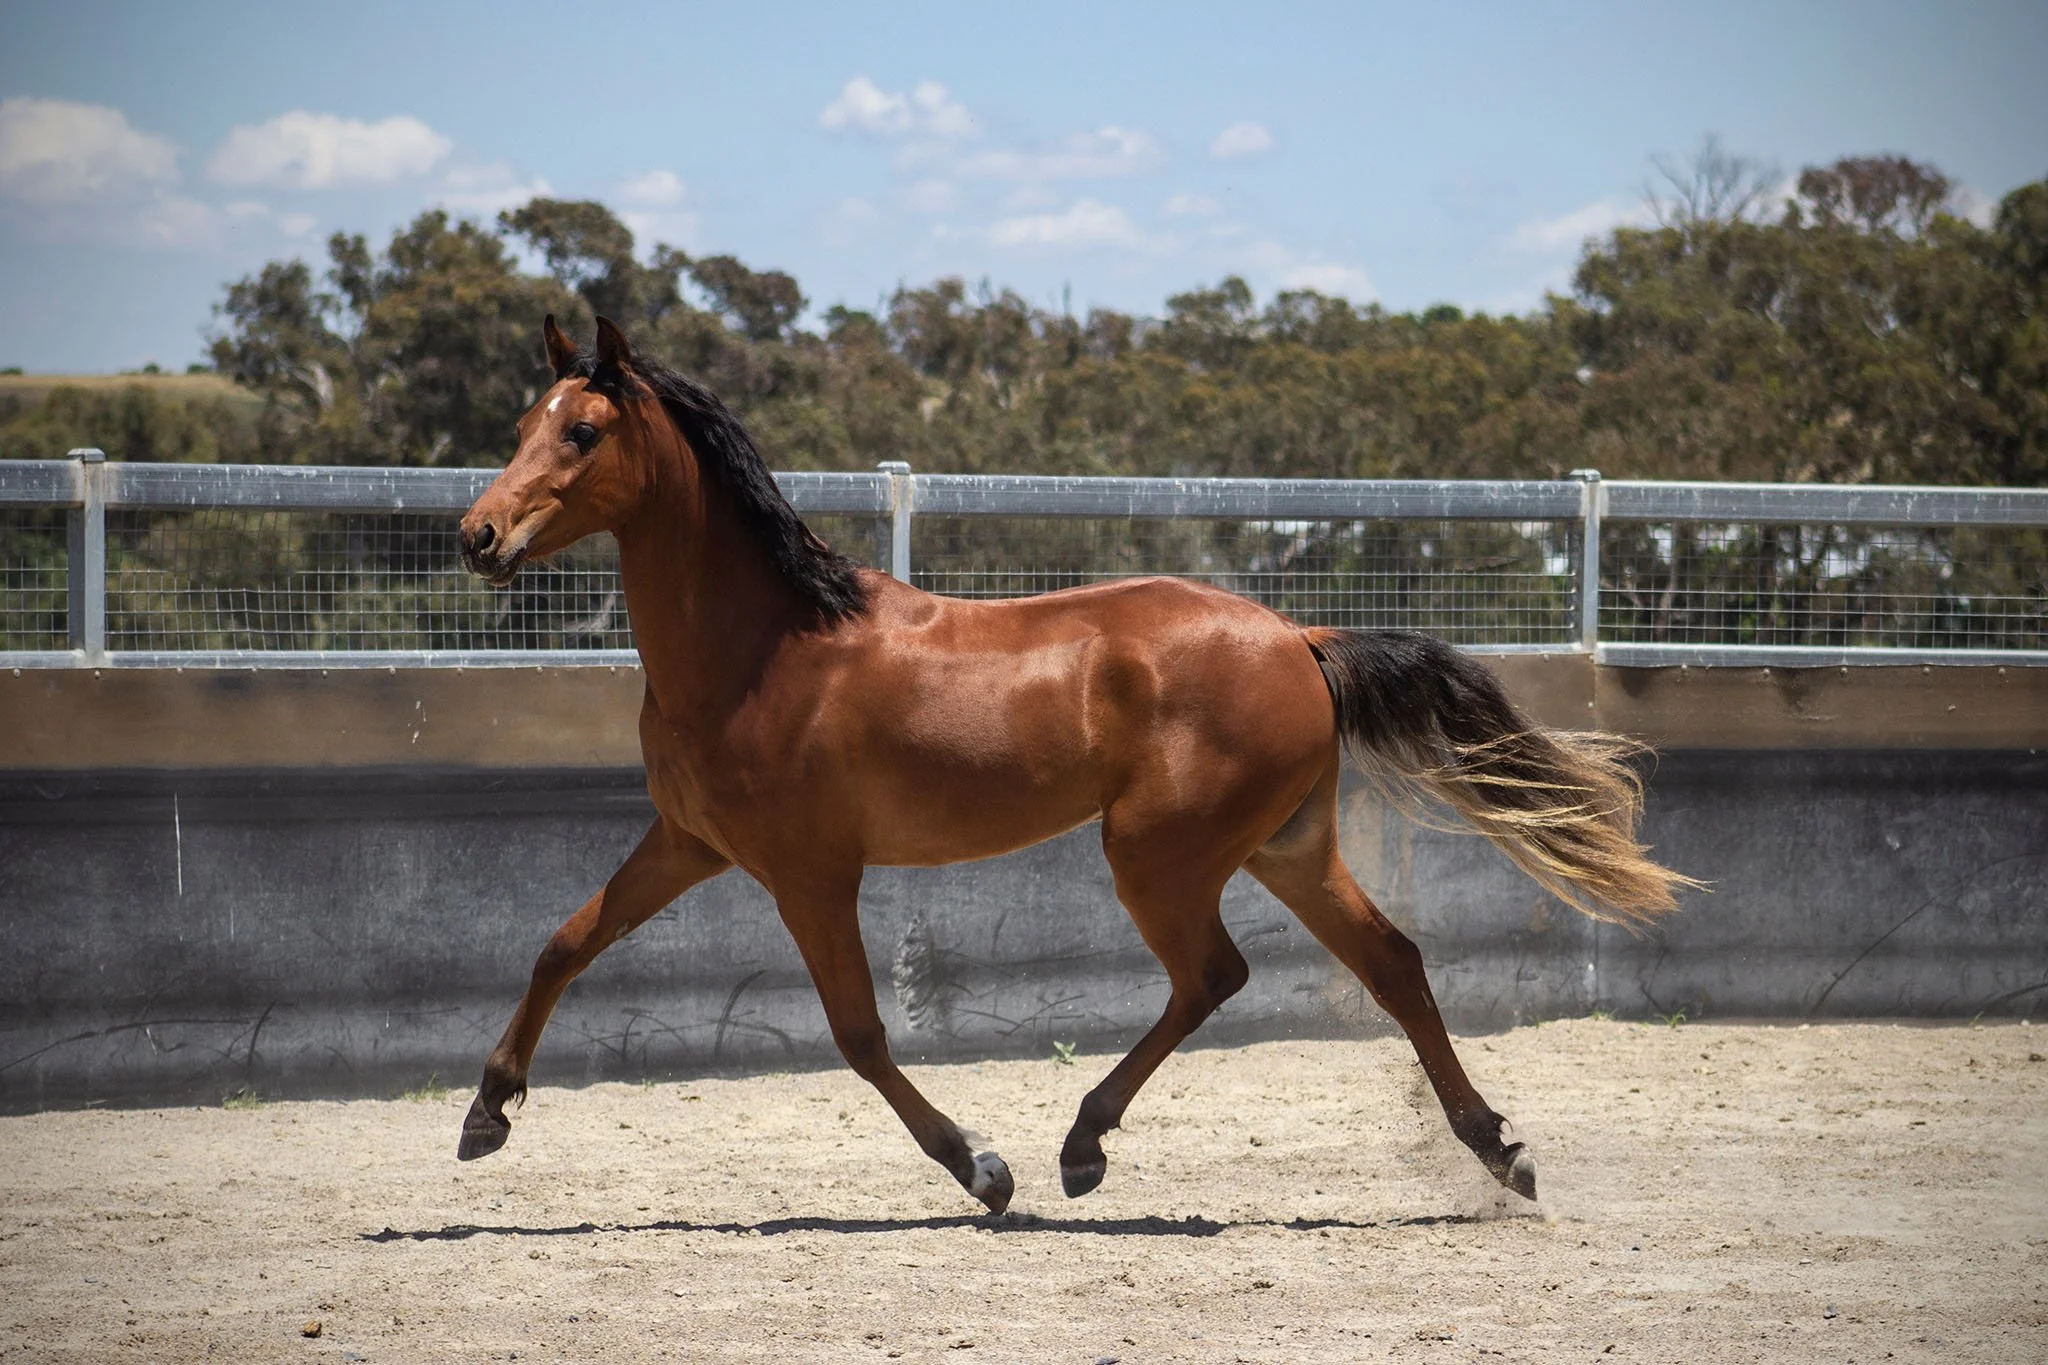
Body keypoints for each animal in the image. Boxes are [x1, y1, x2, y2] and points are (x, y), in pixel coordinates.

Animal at [454, 314, 1692, 1214]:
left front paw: (982, 1170)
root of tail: (1296, 637)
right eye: (523, 418)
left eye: (581, 433)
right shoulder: (688, 845)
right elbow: (562, 942)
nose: (477, 537)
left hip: (1153, 850)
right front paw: (486, 1114)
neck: (764, 648)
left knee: (1213, 976)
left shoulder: (809, 874)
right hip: (1286, 848)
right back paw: (1498, 1152)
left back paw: (1079, 1146)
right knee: (1389, 964)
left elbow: (858, 1034)